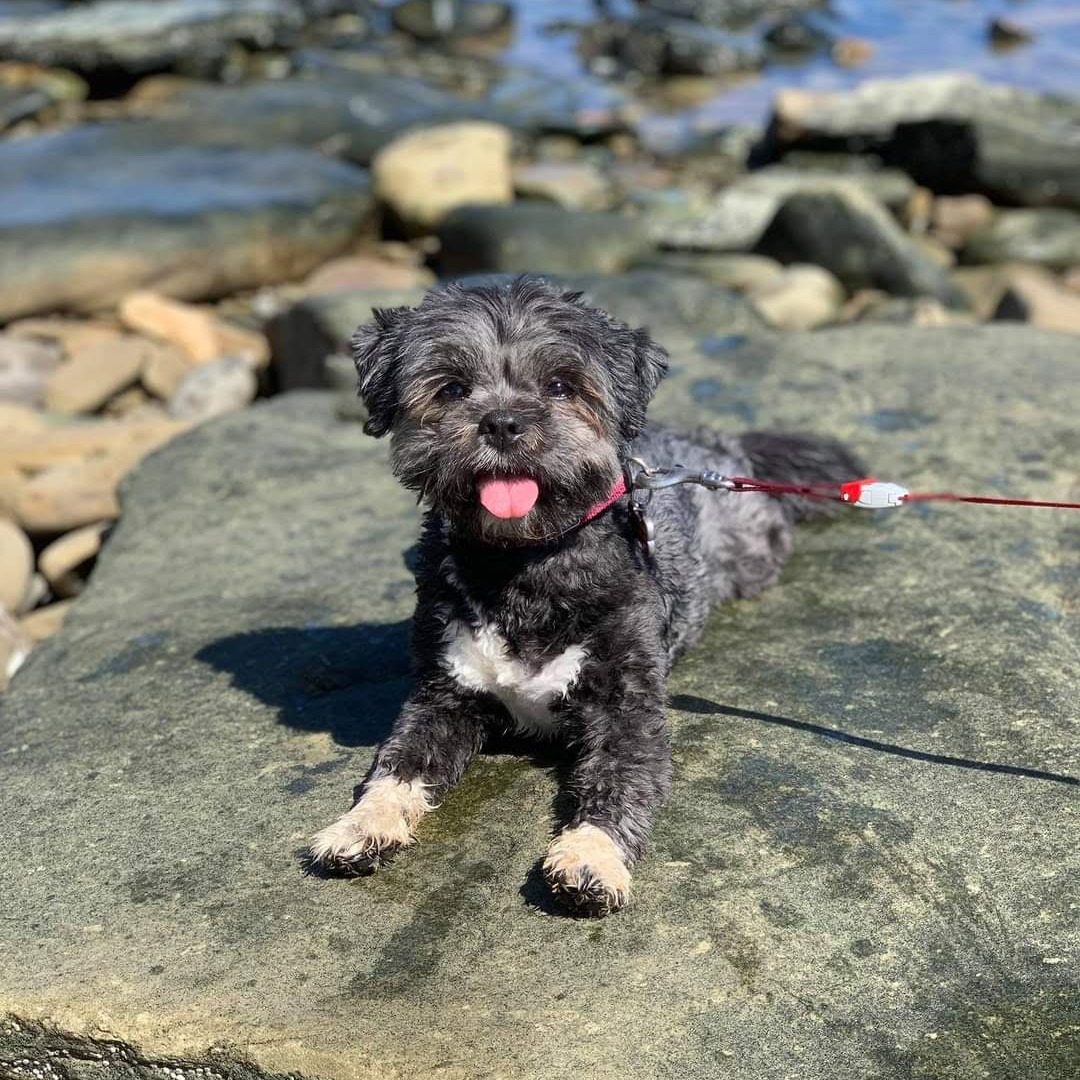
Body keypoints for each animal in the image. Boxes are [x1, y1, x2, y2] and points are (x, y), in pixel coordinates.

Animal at [311, 276, 859, 911]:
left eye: (560, 385)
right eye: (452, 387)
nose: (502, 423)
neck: (522, 564)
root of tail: (710, 444)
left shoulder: (626, 704)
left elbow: (620, 782)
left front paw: (591, 856)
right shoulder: (442, 695)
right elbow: (396, 765)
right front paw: (360, 825)